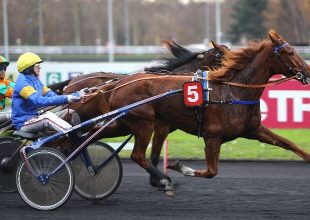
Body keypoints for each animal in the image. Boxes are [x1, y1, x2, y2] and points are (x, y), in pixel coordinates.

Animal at [86, 29, 310, 196]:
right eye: (290, 52)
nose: (307, 71)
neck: (233, 91)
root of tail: (118, 84)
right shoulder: (211, 136)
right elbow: (211, 171)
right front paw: (177, 168)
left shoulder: (253, 130)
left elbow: (288, 143)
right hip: (143, 123)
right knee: (138, 155)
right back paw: (164, 181)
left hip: (123, 123)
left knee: (92, 135)